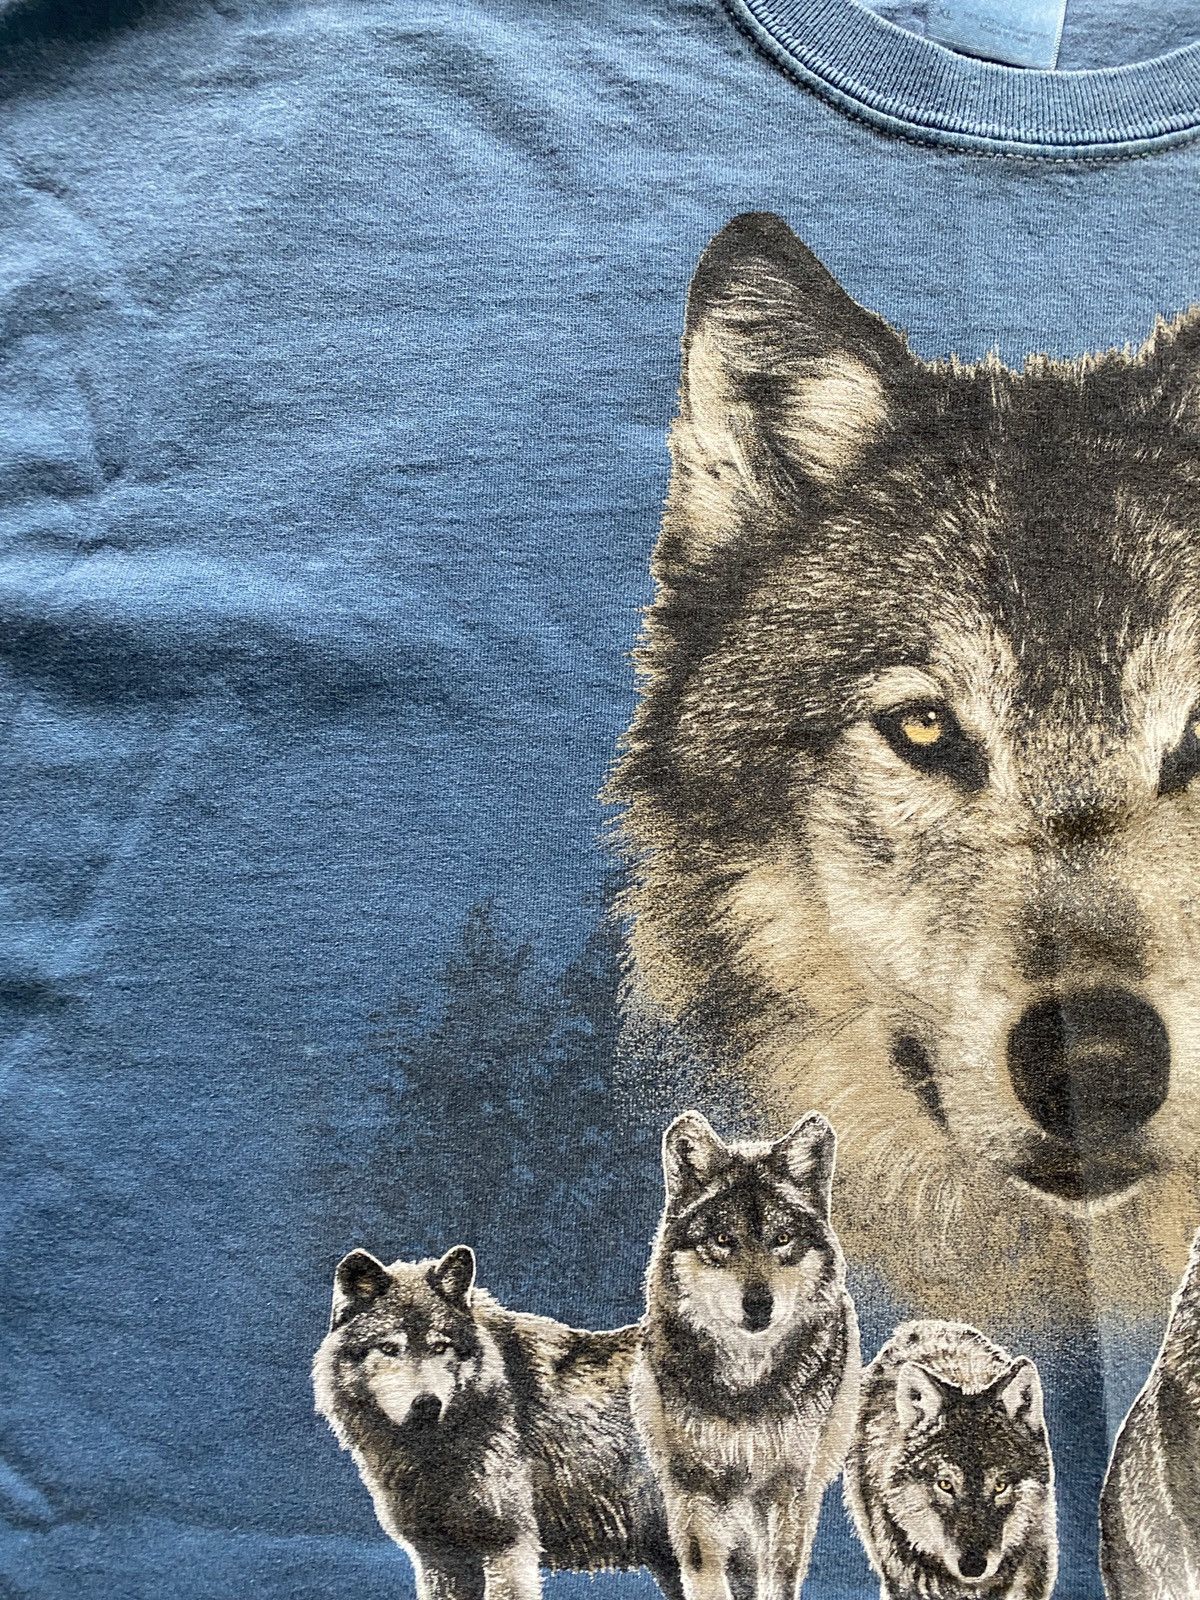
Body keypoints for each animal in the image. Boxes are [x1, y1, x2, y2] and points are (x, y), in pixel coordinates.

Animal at [633, 1109, 860, 1600]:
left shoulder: (785, 1484)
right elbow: (706, 1577)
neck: (746, 1382)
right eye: (723, 1239)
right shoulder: (695, 1487)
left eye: (782, 1238)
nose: (758, 1305)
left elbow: (778, 1574)